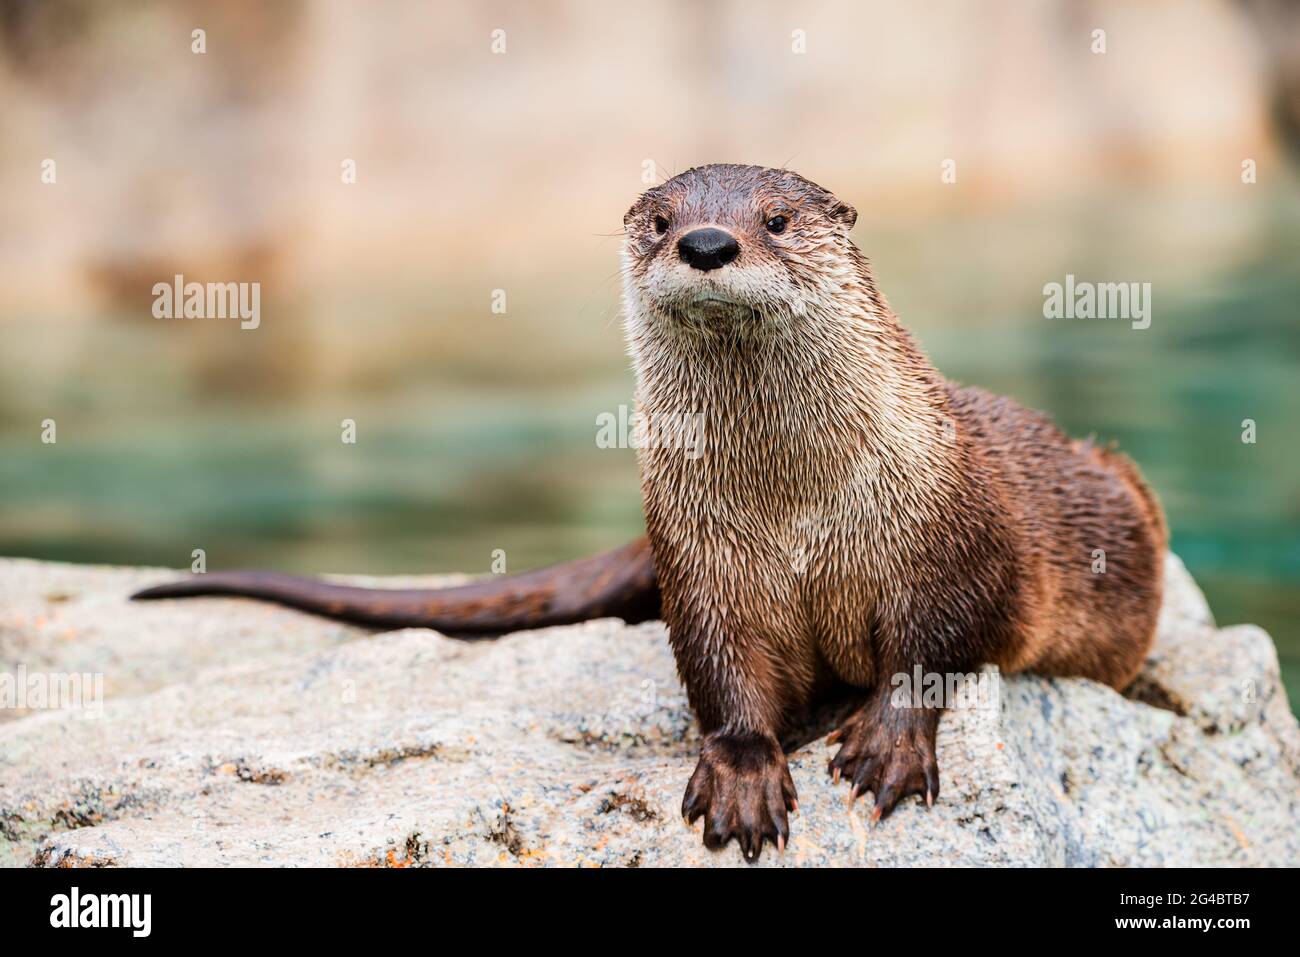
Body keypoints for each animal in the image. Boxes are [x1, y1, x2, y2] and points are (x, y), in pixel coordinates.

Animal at [131, 162, 1170, 858]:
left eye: (776, 219)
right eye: (664, 220)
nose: (707, 243)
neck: (798, 504)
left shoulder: (954, 532)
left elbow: (944, 638)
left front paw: (884, 741)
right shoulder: (699, 557)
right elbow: (720, 670)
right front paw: (746, 772)